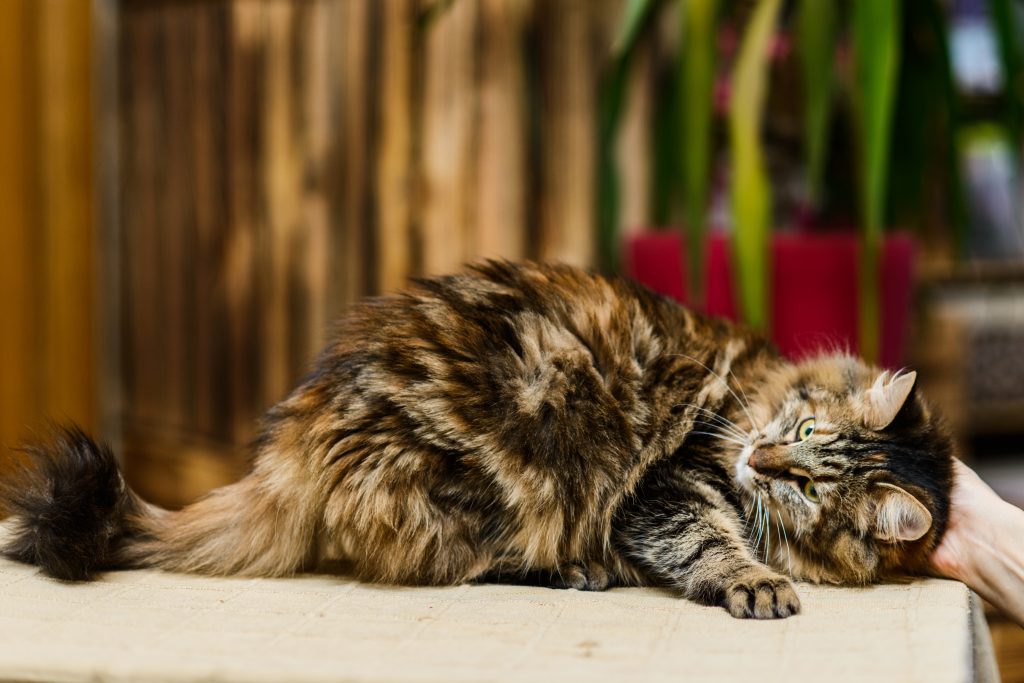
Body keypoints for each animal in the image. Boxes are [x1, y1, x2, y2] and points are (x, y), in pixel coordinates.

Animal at [4, 260, 954, 618]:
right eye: (802, 428)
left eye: (807, 482)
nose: (760, 459)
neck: (751, 392)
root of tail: (295, 444)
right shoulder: (668, 485)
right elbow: (709, 539)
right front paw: (754, 580)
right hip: (512, 478)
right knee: (470, 561)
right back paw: (582, 569)